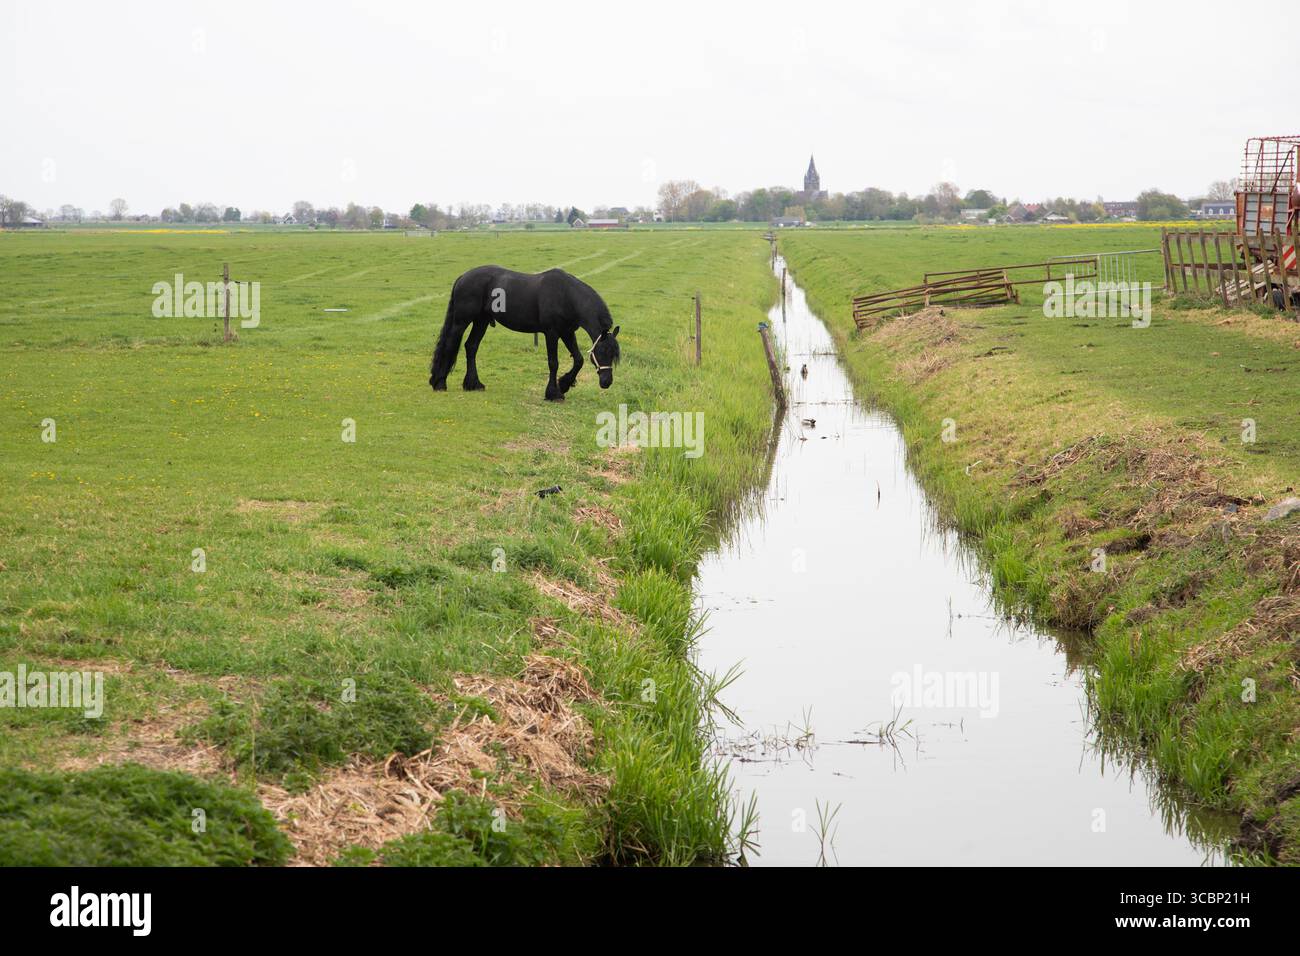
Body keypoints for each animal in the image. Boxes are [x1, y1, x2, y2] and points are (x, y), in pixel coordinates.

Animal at [429, 265, 621, 401]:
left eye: (614, 355)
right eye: (601, 352)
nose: (607, 382)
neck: (566, 296)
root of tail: (462, 277)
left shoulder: (566, 332)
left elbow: (579, 360)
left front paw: (564, 385)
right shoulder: (551, 333)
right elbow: (553, 363)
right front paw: (553, 393)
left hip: (481, 321)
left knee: (471, 346)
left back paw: (473, 384)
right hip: (461, 322)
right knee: (450, 344)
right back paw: (440, 383)